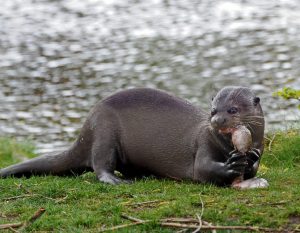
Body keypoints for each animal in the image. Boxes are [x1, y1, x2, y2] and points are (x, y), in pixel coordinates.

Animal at [0, 86, 268, 188]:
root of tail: (86, 127)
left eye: (232, 110)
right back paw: (117, 181)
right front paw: (231, 166)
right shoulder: (203, 144)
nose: (217, 120)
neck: (223, 147)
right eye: (213, 110)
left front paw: (252, 159)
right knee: (100, 165)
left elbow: (254, 164)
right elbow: (203, 170)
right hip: (104, 131)